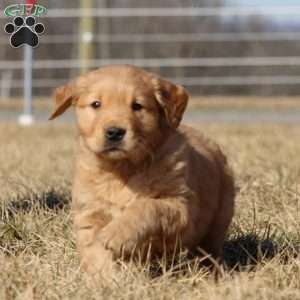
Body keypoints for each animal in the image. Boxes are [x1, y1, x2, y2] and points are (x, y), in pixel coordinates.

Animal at [49, 65, 234, 274]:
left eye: (137, 106)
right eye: (96, 104)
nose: (114, 132)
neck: (121, 168)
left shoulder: (181, 206)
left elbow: (147, 206)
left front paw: (117, 233)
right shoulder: (90, 213)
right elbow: (97, 254)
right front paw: (108, 278)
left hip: (218, 219)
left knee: (210, 249)